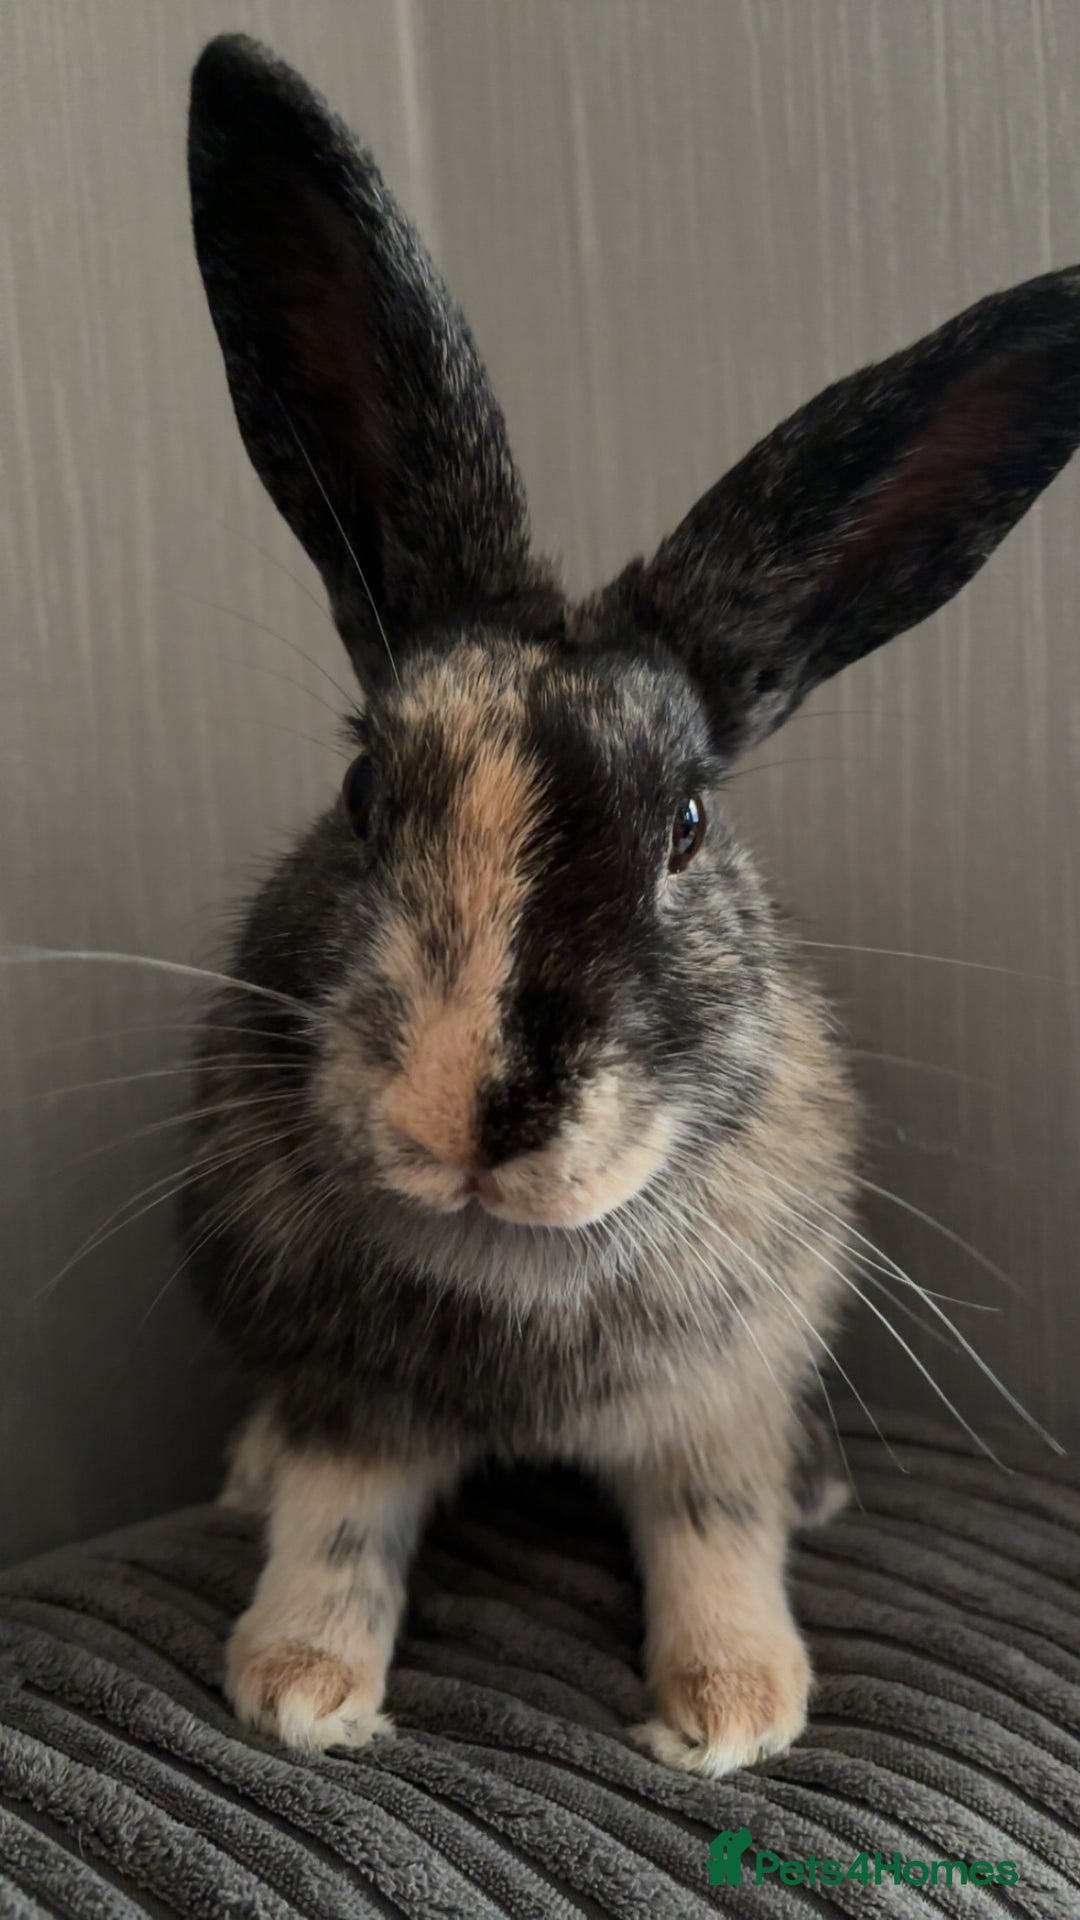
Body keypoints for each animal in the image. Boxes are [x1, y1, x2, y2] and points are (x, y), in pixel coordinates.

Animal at [184, 33, 1080, 1774]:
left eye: (688, 825)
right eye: (365, 793)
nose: (476, 1117)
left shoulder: (720, 1390)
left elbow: (716, 1526)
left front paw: (735, 1710)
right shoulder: (344, 1393)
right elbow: (337, 1518)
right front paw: (301, 1689)